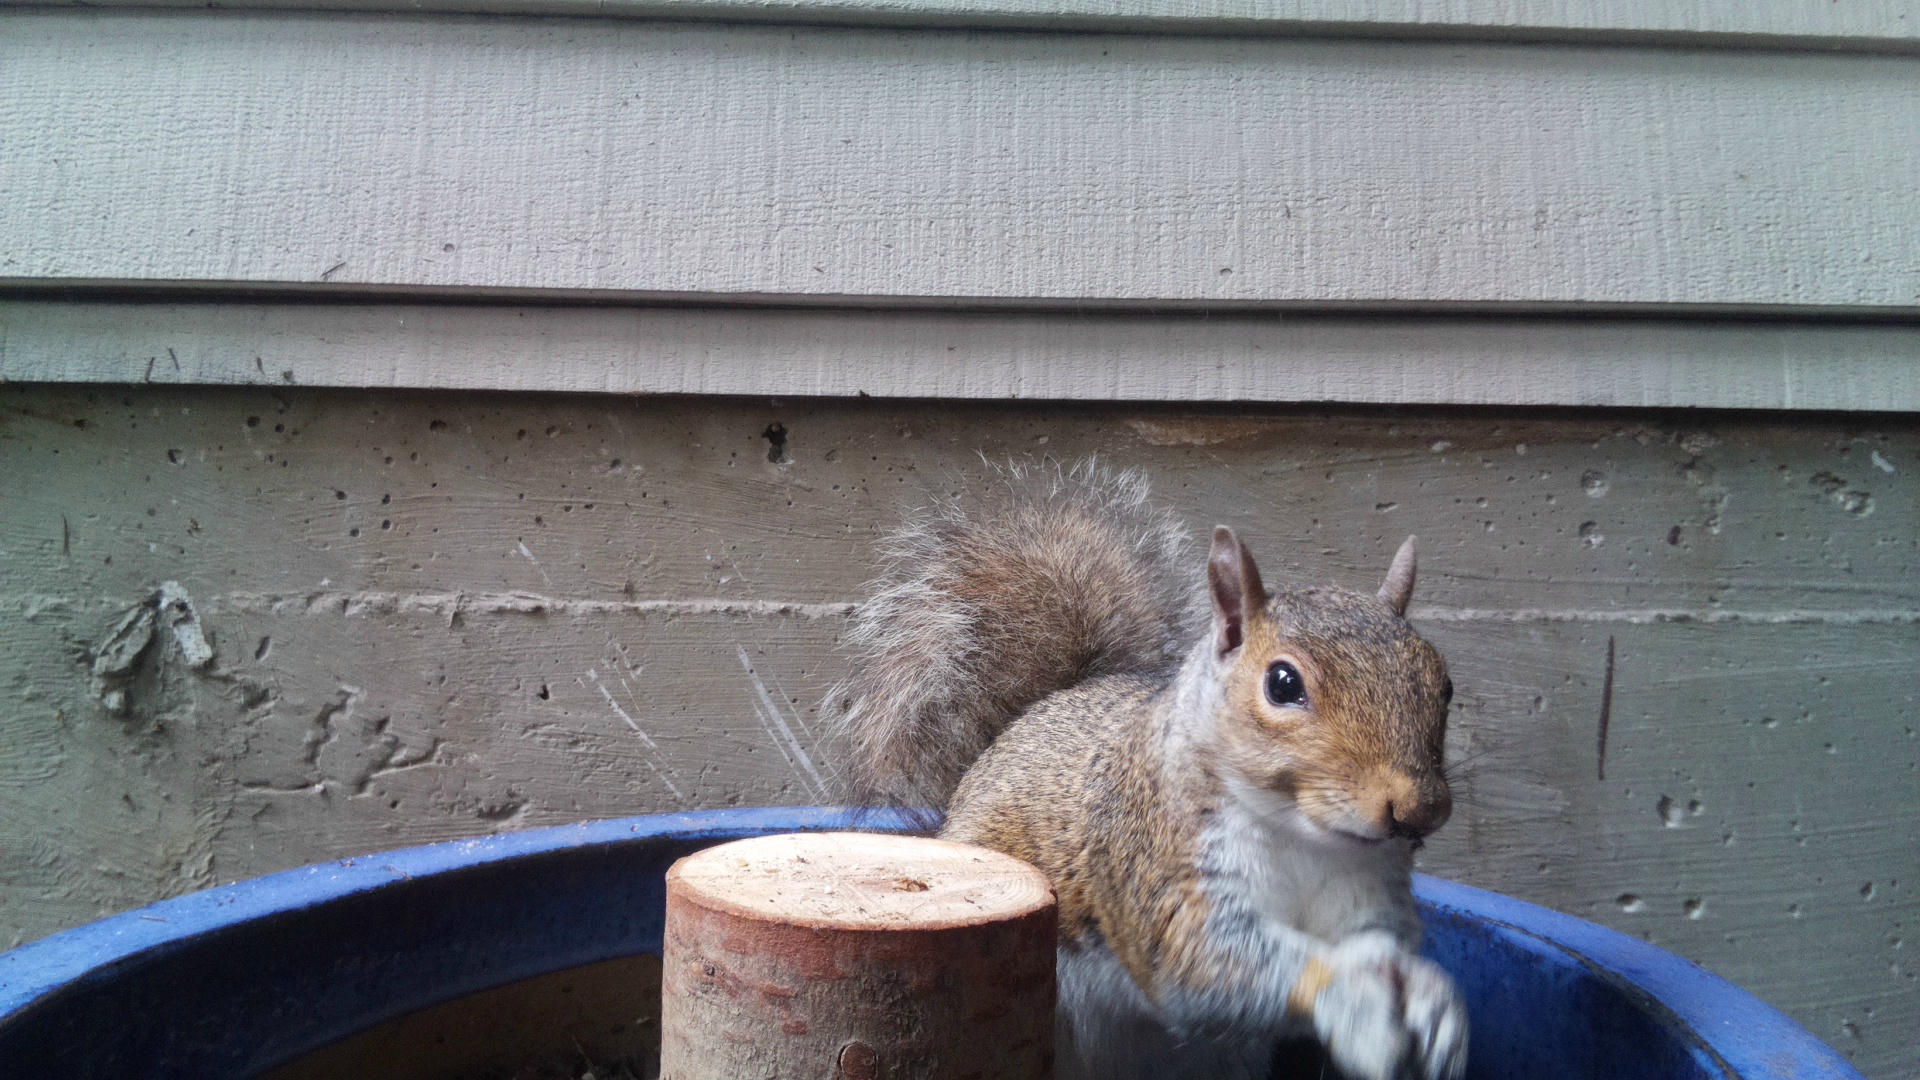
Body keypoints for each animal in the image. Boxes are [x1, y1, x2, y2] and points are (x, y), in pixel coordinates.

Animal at [832, 461, 1467, 1080]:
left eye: (1445, 683)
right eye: (1283, 683)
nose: (1420, 809)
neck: (1306, 840)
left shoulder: (1369, 890)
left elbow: (1384, 944)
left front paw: (1433, 1004)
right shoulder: (1156, 864)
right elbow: (1204, 964)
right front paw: (1354, 1001)